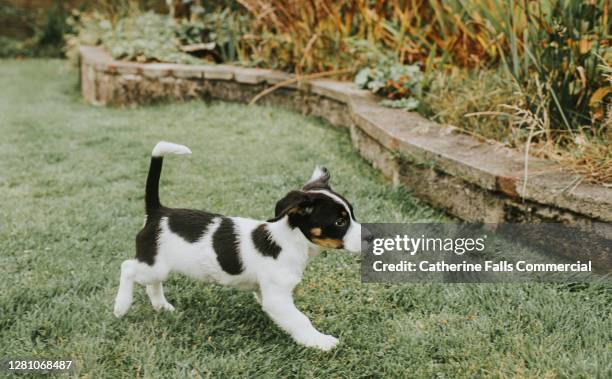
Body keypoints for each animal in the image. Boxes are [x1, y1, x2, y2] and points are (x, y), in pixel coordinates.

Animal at [113, 141, 366, 352]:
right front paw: (319, 341)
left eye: (352, 214)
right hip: (152, 265)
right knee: (127, 267)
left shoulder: (267, 293)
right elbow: (300, 319)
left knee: (152, 284)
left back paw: (161, 306)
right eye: (340, 222)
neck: (290, 240)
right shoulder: (277, 298)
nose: (371, 236)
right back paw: (121, 305)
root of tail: (158, 212)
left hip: (157, 266)